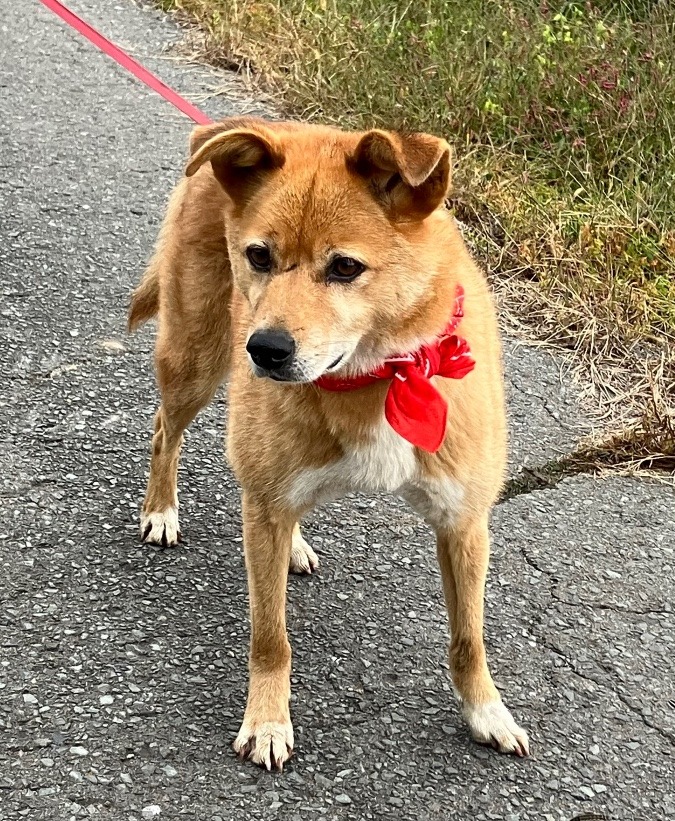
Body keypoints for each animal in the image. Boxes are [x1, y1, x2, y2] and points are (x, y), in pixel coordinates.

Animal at [127, 115, 528, 768]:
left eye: (345, 268)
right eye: (259, 256)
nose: (263, 350)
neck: (378, 376)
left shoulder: (463, 521)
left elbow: (469, 636)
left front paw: (486, 711)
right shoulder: (264, 504)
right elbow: (270, 637)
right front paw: (268, 719)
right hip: (193, 362)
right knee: (166, 430)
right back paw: (161, 509)